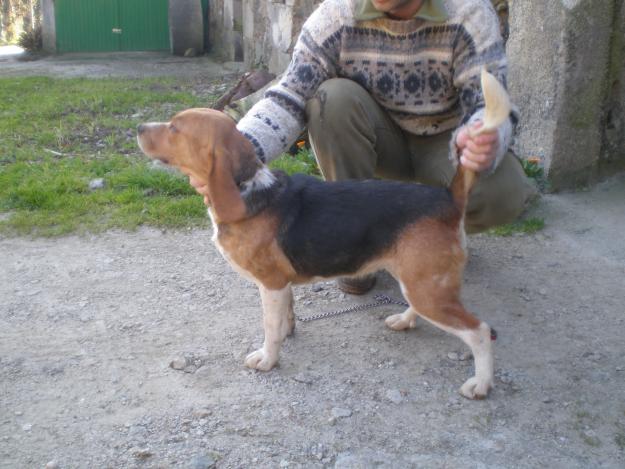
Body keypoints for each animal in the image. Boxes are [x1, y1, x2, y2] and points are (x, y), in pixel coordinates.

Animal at [136, 70, 508, 398]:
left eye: (175, 128)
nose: (139, 128)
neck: (247, 191)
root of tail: (447, 197)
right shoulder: (282, 286)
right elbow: (285, 317)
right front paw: (288, 333)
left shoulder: (270, 283)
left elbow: (269, 328)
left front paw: (268, 359)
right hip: (420, 282)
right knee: (421, 307)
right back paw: (404, 320)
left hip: (428, 289)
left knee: (479, 331)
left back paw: (481, 384)